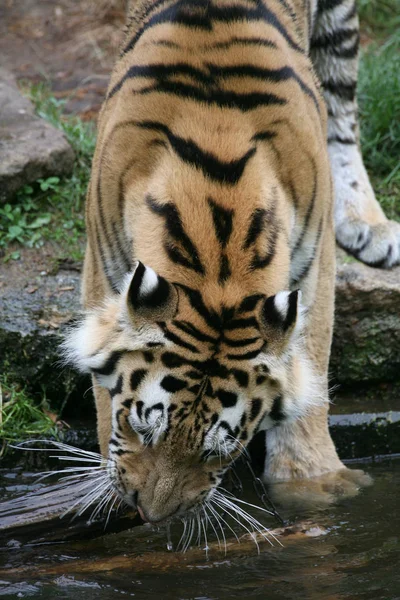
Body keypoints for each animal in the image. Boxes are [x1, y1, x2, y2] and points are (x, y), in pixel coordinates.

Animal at [64, 0, 392, 524]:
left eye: (217, 450)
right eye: (140, 427)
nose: (154, 516)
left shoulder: (314, 264)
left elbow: (313, 370)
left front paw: (312, 480)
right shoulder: (103, 263)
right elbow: (100, 390)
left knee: (344, 115)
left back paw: (371, 226)